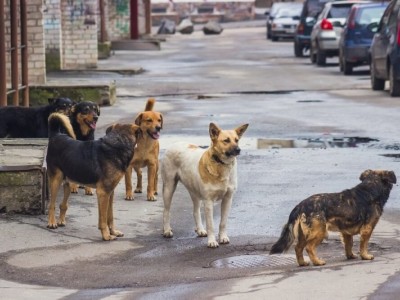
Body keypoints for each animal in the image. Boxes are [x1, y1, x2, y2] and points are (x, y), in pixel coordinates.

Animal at [46, 112, 138, 241]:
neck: (118, 143)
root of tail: (56, 135)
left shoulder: (110, 192)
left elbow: (110, 216)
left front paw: (113, 232)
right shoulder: (103, 193)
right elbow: (103, 219)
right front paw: (106, 235)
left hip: (68, 182)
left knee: (63, 204)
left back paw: (61, 221)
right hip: (56, 180)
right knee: (52, 205)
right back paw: (52, 222)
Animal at [268, 170, 396, 266]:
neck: (370, 187)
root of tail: (300, 206)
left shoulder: (346, 232)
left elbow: (349, 244)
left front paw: (350, 256)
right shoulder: (367, 229)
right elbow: (363, 245)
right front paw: (365, 256)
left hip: (304, 234)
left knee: (298, 248)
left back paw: (302, 263)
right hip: (320, 232)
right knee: (309, 248)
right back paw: (317, 262)